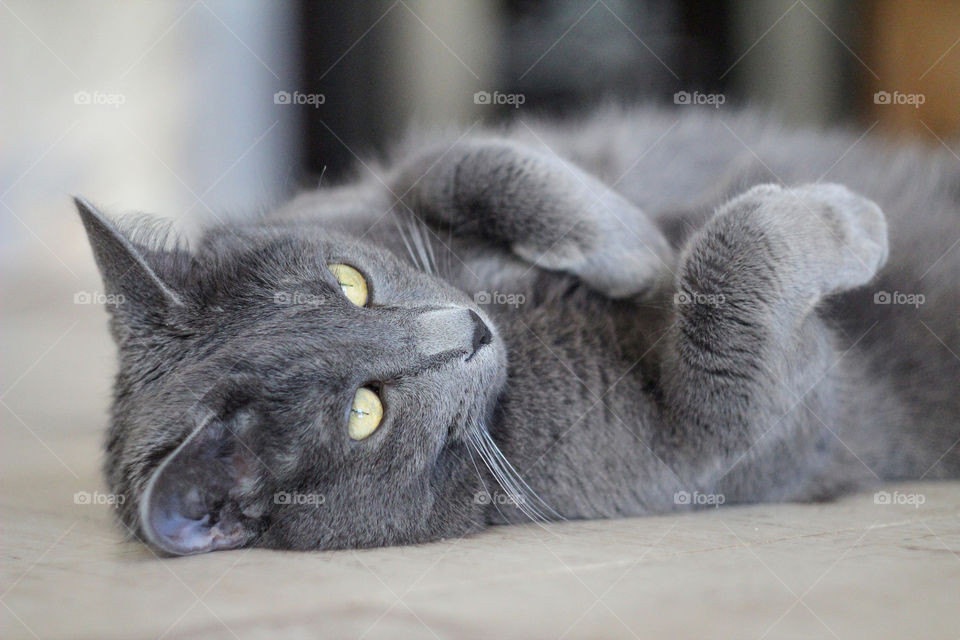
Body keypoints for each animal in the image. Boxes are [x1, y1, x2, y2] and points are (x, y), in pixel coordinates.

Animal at [77, 106, 960, 556]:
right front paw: (853, 222)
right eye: (365, 412)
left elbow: (472, 160)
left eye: (351, 282)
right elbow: (731, 281)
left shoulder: (375, 186)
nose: (469, 328)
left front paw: (633, 248)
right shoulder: (733, 431)